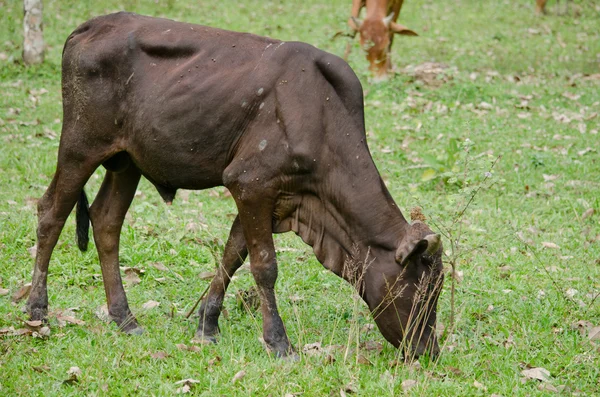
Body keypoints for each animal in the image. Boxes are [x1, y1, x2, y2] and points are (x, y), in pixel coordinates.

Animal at [25, 12, 442, 358]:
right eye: (422, 290)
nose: (429, 350)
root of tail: (90, 26)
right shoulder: (250, 183)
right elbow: (265, 266)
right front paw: (279, 342)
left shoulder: (267, 195)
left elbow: (232, 256)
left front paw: (207, 325)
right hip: (80, 145)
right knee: (51, 212)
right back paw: (37, 310)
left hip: (127, 161)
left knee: (106, 221)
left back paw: (125, 318)